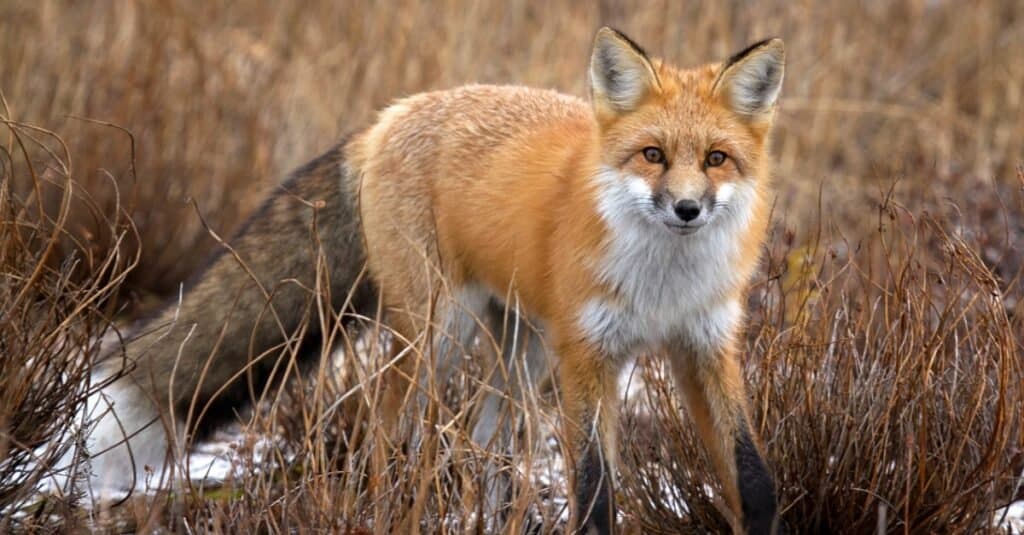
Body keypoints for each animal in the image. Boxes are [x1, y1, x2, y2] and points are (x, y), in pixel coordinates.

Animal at [64, 27, 782, 528]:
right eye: (653, 155)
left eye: (716, 159)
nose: (686, 208)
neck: (664, 283)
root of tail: (389, 117)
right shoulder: (588, 358)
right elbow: (595, 489)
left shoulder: (704, 346)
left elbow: (752, 477)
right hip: (438, 334)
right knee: (384, 430)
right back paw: (385, 513)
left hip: (517, 350)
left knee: (485, 442)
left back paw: (494, 518)